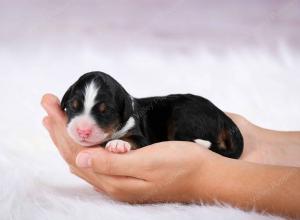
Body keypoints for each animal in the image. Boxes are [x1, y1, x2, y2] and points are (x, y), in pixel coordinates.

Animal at [61, 72, 244, 158]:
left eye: (105, 112)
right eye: (72, 106)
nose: (82, 131)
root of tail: (221, 114)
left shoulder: (141, 137)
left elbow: (132, 139)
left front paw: (118, 143)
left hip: (183, 117)